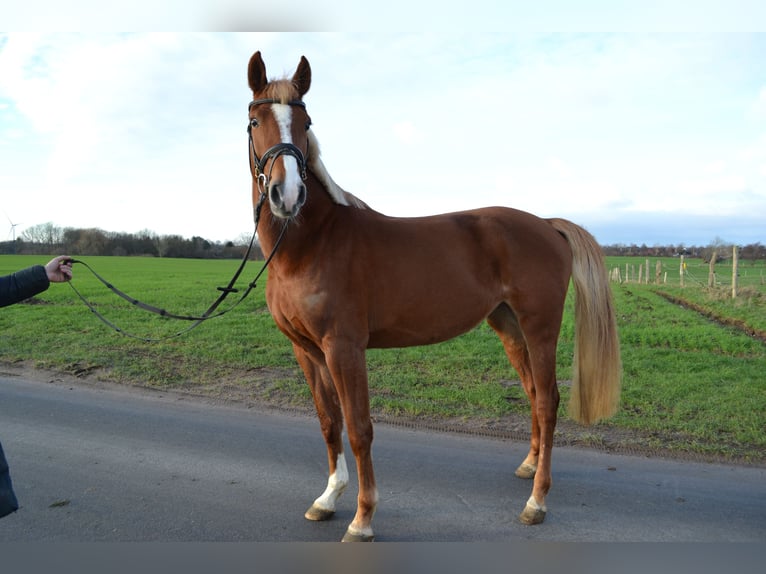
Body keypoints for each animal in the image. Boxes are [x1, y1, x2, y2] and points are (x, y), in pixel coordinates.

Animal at [246, 51, 624, 544]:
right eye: (255, 121)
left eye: (306, 122)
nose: (286, 195)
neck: (311, 245)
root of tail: (546, 224)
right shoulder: (306, 350)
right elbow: (330, 422)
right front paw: (327, 498)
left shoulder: (344, 349)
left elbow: (360, 428)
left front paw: (363, 518)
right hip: (508, 326)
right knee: (531, 393)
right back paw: (529, 466)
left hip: (540, 327)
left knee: (547, 401)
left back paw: (536, 502)